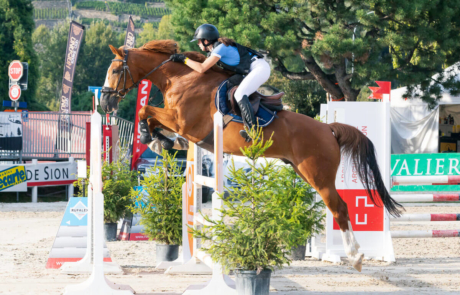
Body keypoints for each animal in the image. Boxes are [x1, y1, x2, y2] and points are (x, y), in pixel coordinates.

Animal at [101, 40, 402, 272]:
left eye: (115, 70)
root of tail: (328, 128)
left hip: (319, 176)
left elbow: (146, 111)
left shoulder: (183, 122)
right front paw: (160, 141)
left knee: (339, 208)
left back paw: (356, 257)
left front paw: (151, 138)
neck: (182, 79)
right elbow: (153, 119)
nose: (105, 102)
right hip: (303, 171)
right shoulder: (180, 124)